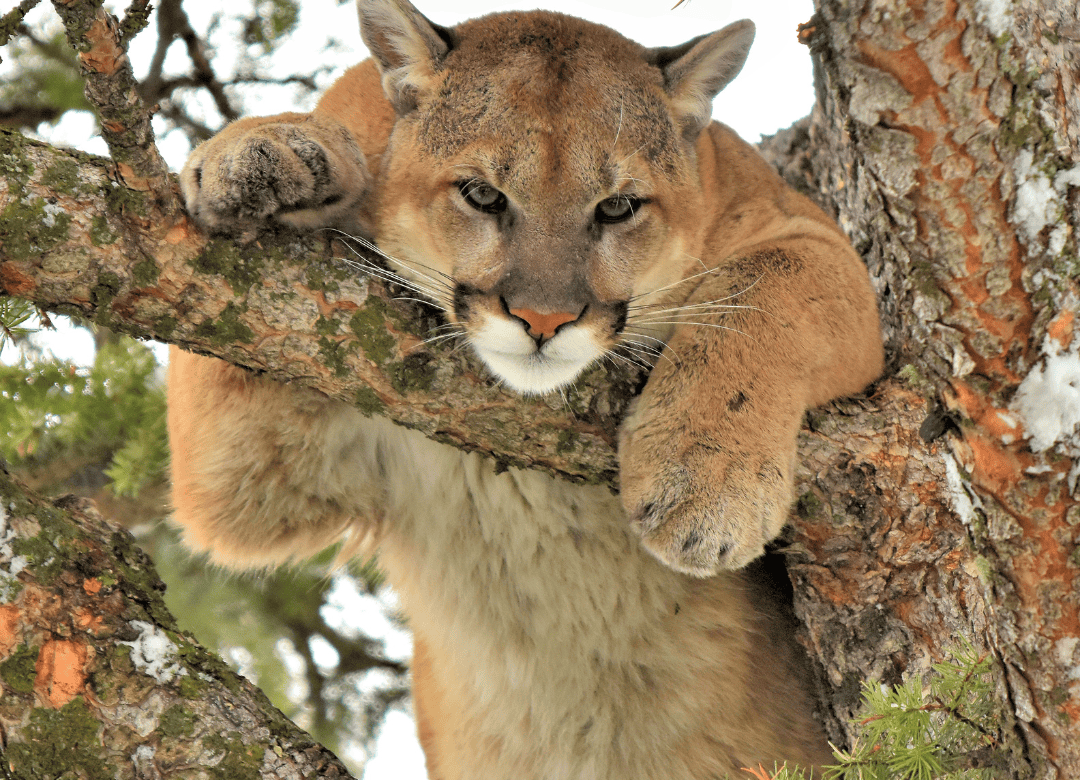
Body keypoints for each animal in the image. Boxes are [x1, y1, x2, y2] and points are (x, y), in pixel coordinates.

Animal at [168, 1, 884, 777]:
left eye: (618, 207)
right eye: (483, 195)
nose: (544, 318)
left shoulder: (810, 236)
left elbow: (763, 289)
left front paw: (707, 487)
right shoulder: (252, 473)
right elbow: (220, 327)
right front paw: (263, 157)